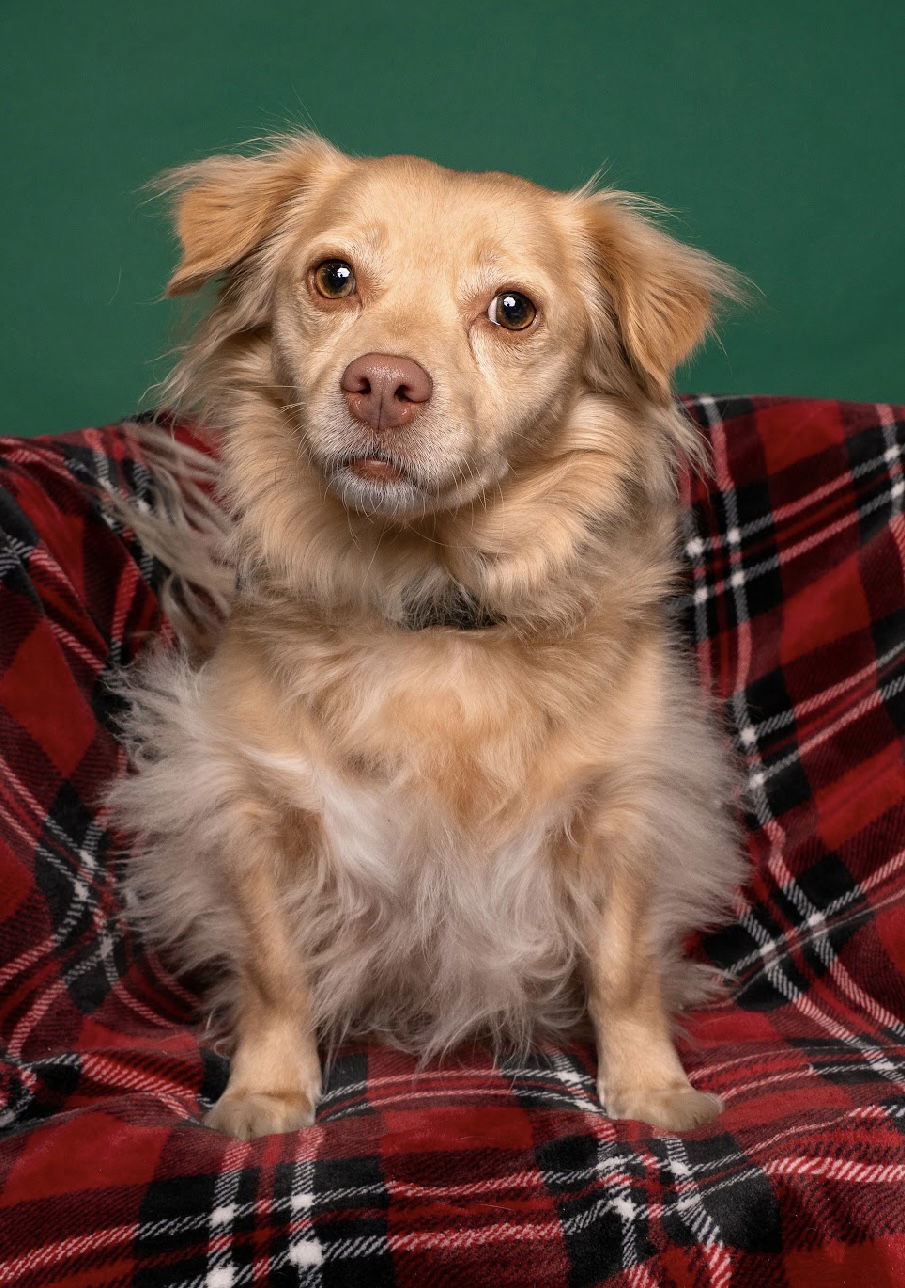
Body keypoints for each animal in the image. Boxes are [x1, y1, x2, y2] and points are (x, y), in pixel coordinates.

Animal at [109, 130, 746, 1138]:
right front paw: (266, 1093)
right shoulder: (252, 807)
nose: (382, 383)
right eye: (333, 277)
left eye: (512, 310)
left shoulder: (623, 809)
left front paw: (651, 1090)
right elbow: (275, 969)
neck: (432, 593)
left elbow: (622, 969)